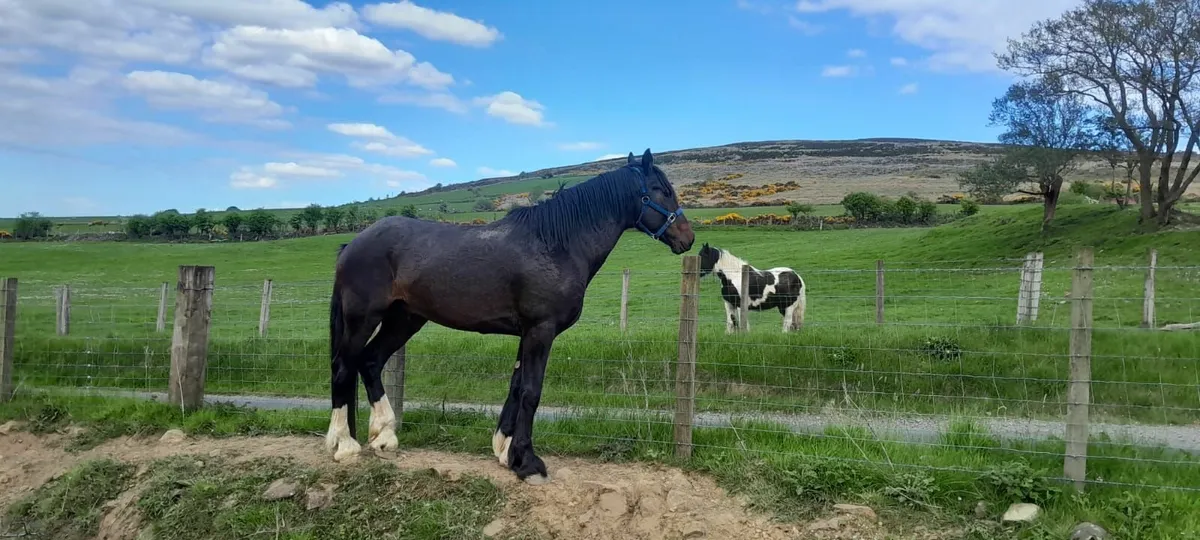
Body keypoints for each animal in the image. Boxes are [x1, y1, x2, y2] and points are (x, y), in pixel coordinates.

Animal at [326, 149, 694, 484]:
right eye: (661, 189)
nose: (687, 238)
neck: (556, 245)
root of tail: (352, 244)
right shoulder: (541, 330)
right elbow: (531, 391)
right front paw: (528, 463)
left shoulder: (527, 333)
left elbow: (516, 387)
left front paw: (506, 452)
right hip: (363, 317)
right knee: (344, 367)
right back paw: (344, 444)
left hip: (405, 319)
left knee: (370, 362)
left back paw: (384, 437)